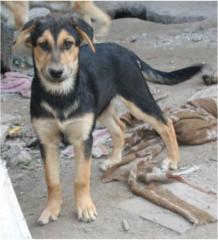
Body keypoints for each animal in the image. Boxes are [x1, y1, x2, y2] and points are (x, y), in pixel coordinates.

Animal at [14, 15, 204, 224]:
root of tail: (126, 51)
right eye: (42, 44)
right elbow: (52, 180)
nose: (56, 72)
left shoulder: (83, 140)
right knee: (120, 127)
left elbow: (81, 178)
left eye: (68, 43)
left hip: (137, 98)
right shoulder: (47, 142)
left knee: (165, 123)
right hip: (102, 107)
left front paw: (85, 208)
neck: (60, 95)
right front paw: (51, 209)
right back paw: (114, 160)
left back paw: (172, 160)